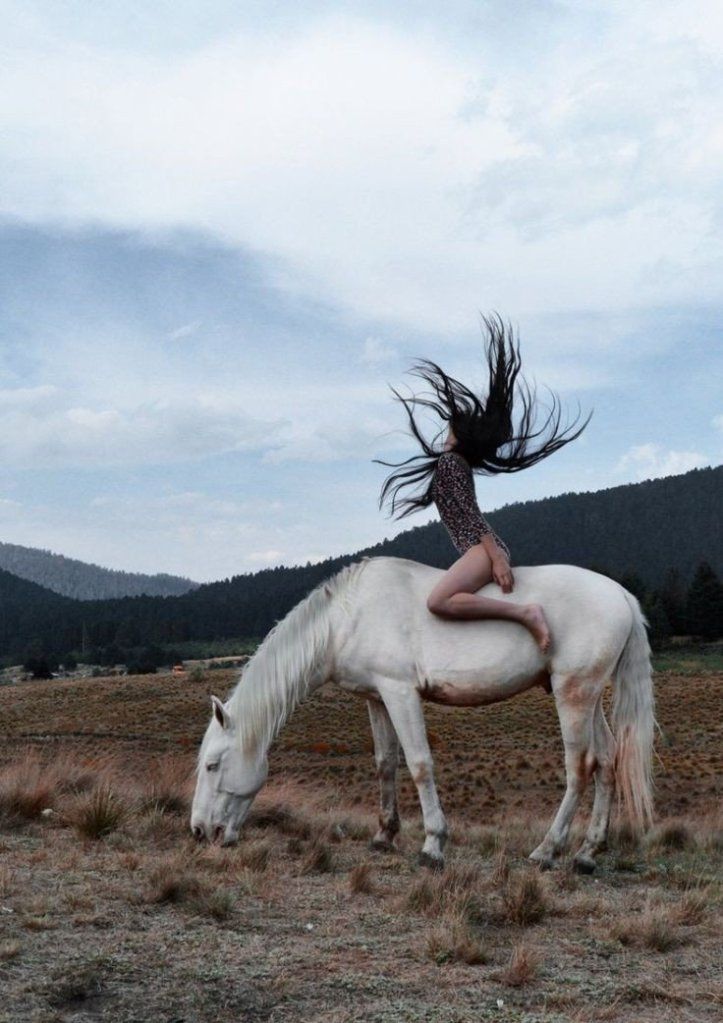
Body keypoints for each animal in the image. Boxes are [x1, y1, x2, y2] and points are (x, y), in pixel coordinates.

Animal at [192, 560, 654, 871]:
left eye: (213, 765)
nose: (198, 831)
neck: (347, 617)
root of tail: (621, 595)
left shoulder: (401, 692)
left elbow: (419, 764)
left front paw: (433, 845)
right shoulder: (377, 697)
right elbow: (385, 763)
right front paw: (384, 835)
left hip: (572, 695)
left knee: (580, 766)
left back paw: (547, 850)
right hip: (589, 698)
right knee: (608, 761)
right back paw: (588, 852)